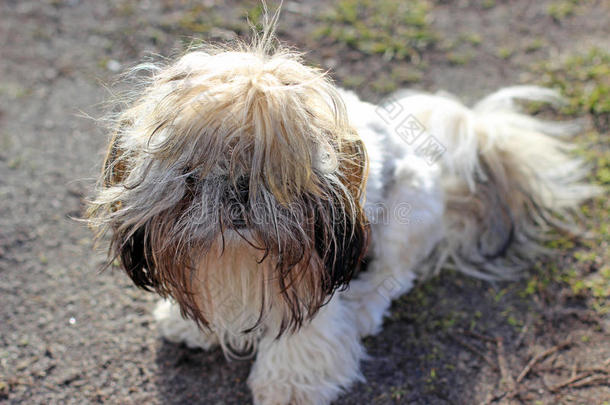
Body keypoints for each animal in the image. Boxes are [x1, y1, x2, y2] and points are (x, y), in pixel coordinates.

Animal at [88, 17, 596, 402]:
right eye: (192, 174)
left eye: (279, 173)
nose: (238, 190)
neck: (235, 260)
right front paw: (188, 324)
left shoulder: (317, 272)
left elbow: (307, 331)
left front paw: (290, 383)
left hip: (406, 213)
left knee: (394, 274)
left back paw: (367, 305)